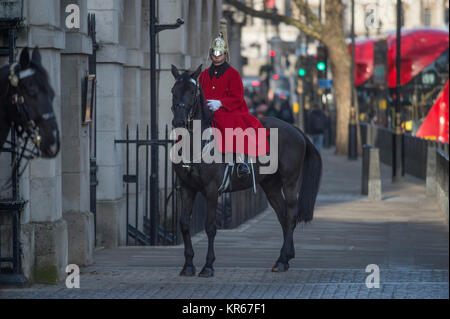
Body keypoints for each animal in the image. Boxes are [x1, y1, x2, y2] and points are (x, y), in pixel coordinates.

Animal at [171, 65, 322, 278]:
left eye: (192, 92)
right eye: (173, 91)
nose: (178, 122)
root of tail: (296, 130)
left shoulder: (211, 190)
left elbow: (210, 227)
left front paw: (208, 266)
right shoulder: (186, 188)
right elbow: (184, 224)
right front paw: (188, 265)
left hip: (290, 182)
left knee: (291, 215)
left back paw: (282, 260)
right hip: (271, 186)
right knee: (283, 217)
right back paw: (284, 258)